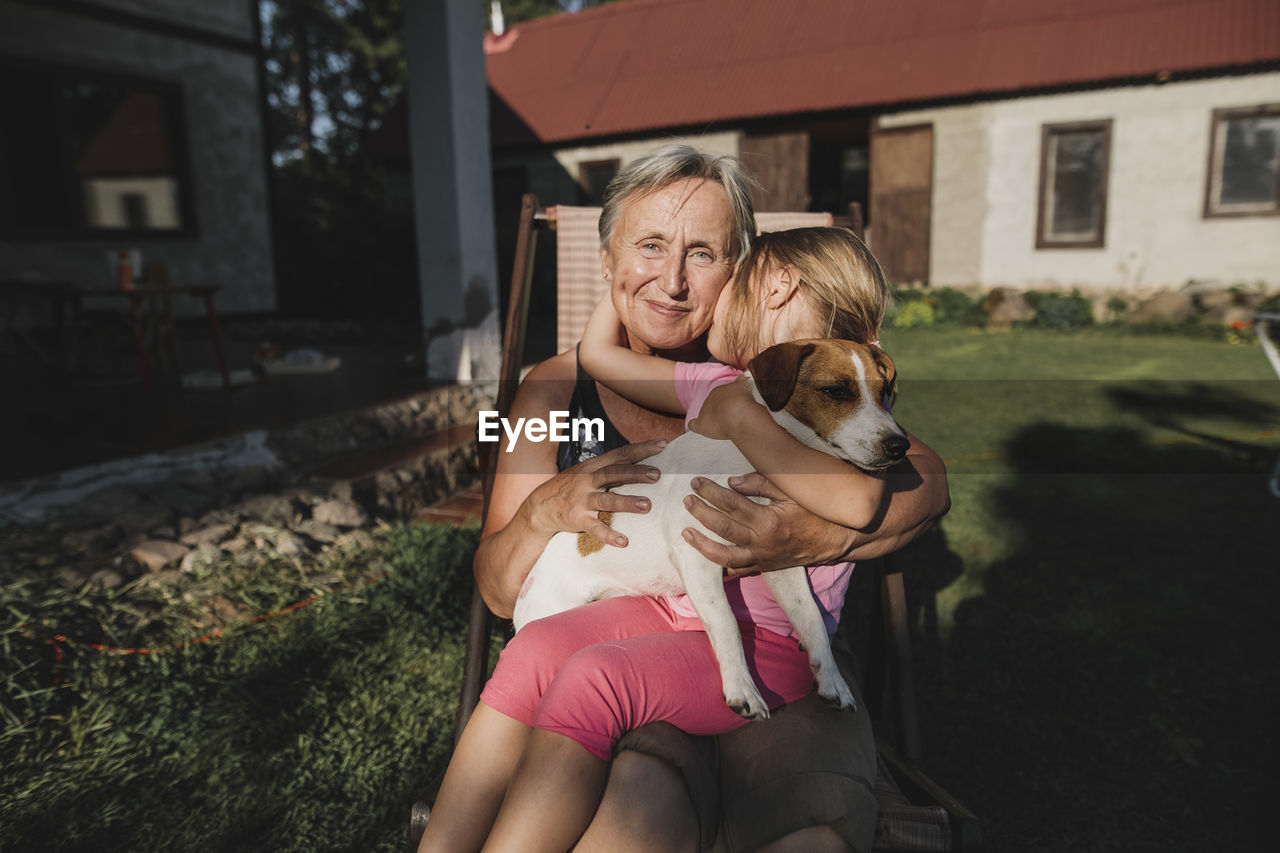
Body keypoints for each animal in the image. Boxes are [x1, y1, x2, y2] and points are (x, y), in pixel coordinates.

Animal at [509, 338, 911, 717]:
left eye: (884, 391)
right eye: (836, 391)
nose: (899, 445)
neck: (754, 454)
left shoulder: (780, 560)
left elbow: (811, 619)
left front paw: (831, 680)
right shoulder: (695, 553)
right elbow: (727, 622)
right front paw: (742, 690)